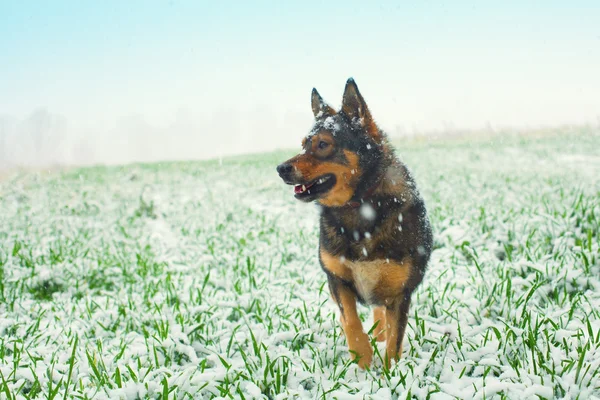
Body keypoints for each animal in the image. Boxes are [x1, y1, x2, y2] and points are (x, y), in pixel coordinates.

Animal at [276, 78, 432, 368]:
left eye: (323, 144)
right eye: (303, 144)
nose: (281, 169)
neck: (360, 206)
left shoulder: (400, 293)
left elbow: (394, 342)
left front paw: (389, 374)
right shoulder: (336, 278)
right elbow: (349, 320)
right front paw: (362, 357)